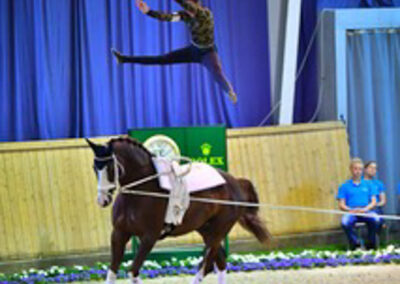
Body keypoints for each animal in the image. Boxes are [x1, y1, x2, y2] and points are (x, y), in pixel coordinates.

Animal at [86, 136, 270, 282]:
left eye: (110, 168)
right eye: (95, 168)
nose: (102, 200)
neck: (140, 191)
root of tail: (235, 182)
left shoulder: (149, 237)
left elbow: (133, 271)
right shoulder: (119, 233)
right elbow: (112, 272)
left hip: (219, 231)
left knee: (206, 266)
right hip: (206, 230)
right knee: (220, 264)